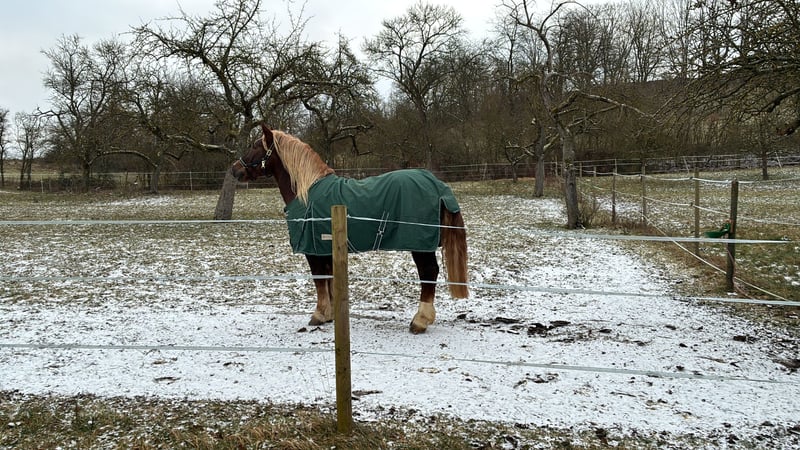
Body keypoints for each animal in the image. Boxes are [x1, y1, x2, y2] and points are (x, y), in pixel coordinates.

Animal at [230, 124, 468, 334]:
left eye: (255, 145)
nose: (235, 169)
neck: (306, 192)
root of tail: (438, 186)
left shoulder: (312, 250)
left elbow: (319, 280)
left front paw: (319, 315)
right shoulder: (324, 249)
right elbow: (329, 281)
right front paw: (330, 315)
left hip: (420, 245)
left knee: (428, 273)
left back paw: (420, 321)